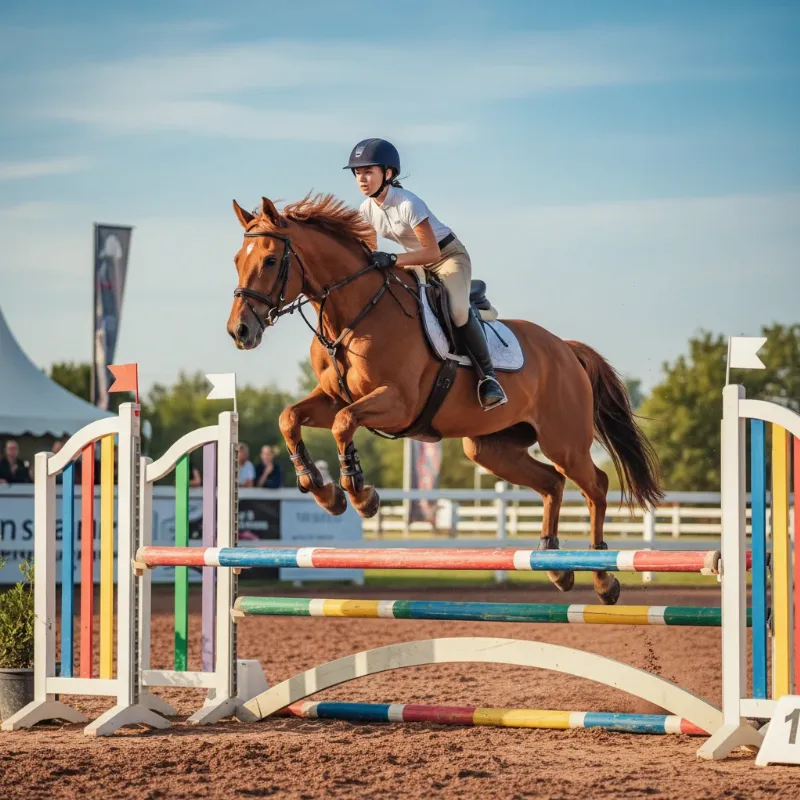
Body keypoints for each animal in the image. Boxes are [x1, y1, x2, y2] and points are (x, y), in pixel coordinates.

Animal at [226, 194, 663, 605]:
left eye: (270, 260)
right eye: (236, 260)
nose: (239, 331)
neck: (354, 313)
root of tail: (565, 350)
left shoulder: (397, 403)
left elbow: (343, 423)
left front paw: (360, 495)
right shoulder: (333, 397)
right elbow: (290, 418)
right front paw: (323, 490)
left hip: (564, 441)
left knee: (595, 486)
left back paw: (603, 577)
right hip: (489, 447)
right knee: (552, 482)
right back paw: (555, 565)